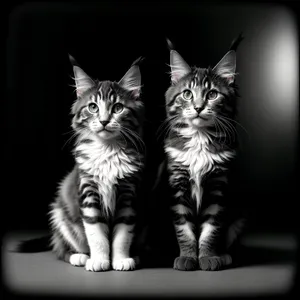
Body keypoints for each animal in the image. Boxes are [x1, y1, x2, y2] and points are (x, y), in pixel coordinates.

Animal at [49, 56, 145, 272]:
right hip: (60, 214)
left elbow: (122, 234)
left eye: (118, 108)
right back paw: (79, 256)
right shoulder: (88, 190)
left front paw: (120, 259)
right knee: (60, 250)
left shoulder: (128, 193)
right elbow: (96, 233)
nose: (103, 121)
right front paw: (99, 260)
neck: (107, 150)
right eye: (93, 107)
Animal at [165, 37, 245, 272]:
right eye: (187, 94)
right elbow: (184, 229)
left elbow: (212, 229)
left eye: (212, 94)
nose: (199, 107)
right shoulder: (178, 186)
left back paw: (224, 255)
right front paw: (187, 257)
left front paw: (209, 257)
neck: (199, 140)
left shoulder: (218, 187)